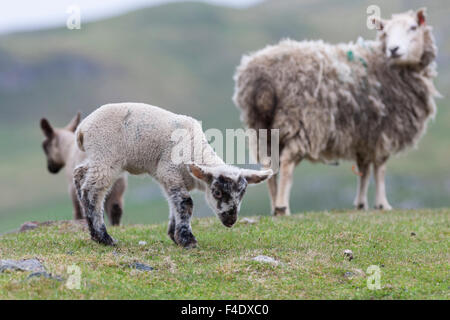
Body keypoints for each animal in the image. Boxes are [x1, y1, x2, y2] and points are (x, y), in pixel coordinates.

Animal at [232, 8, 440, 214]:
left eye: (413, 27)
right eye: (385, 32)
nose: (394, 49)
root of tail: (263, 77)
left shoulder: (365, 136)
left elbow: (364, 169)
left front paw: (361, 204)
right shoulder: (384, 131)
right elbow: (380, 168)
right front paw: (383, 204)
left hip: (261, 127)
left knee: (269, 165)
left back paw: (275, 205)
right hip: (301, 121)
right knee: (287, 163)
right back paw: (283, 207)